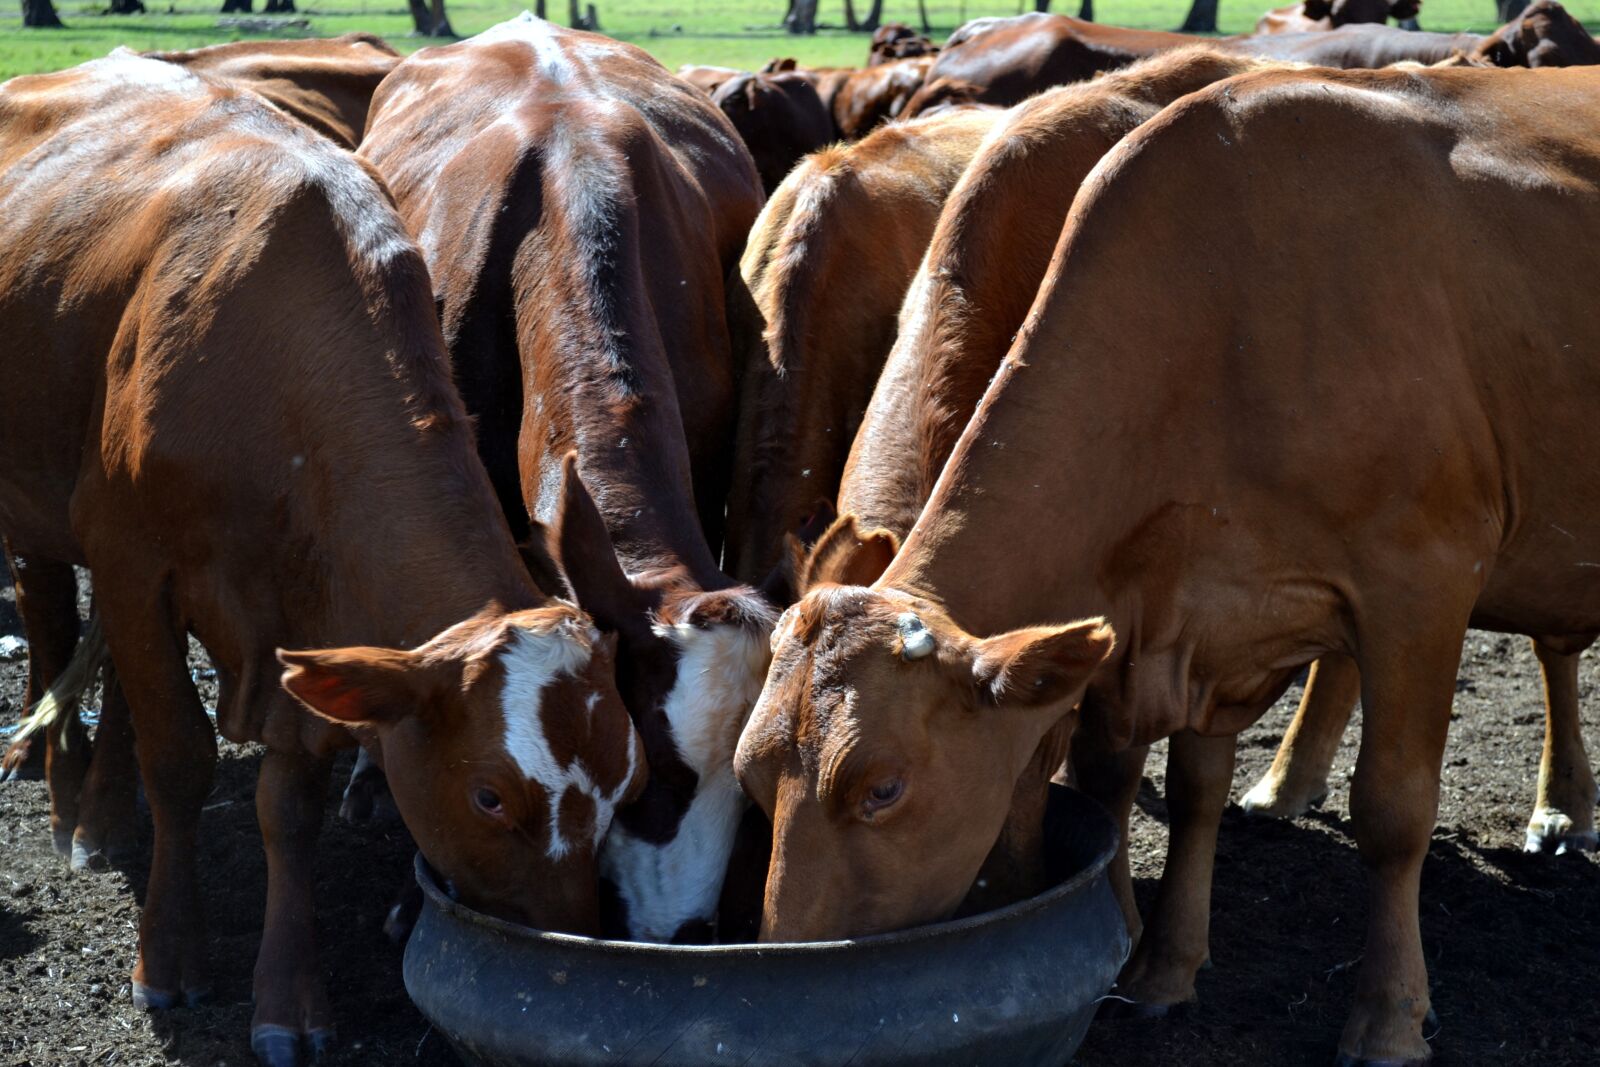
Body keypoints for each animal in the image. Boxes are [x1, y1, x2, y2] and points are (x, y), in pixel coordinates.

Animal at [0, 52, 645, 1067]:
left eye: (628, 785)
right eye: (490, 796)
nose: (567, 950)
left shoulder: (311, 616)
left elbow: (286, 805)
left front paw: (288, 997)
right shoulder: (134, 559)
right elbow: (179, 757)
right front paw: (167, 957)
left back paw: (101, 808)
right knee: (51, 615)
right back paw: (73, 805)